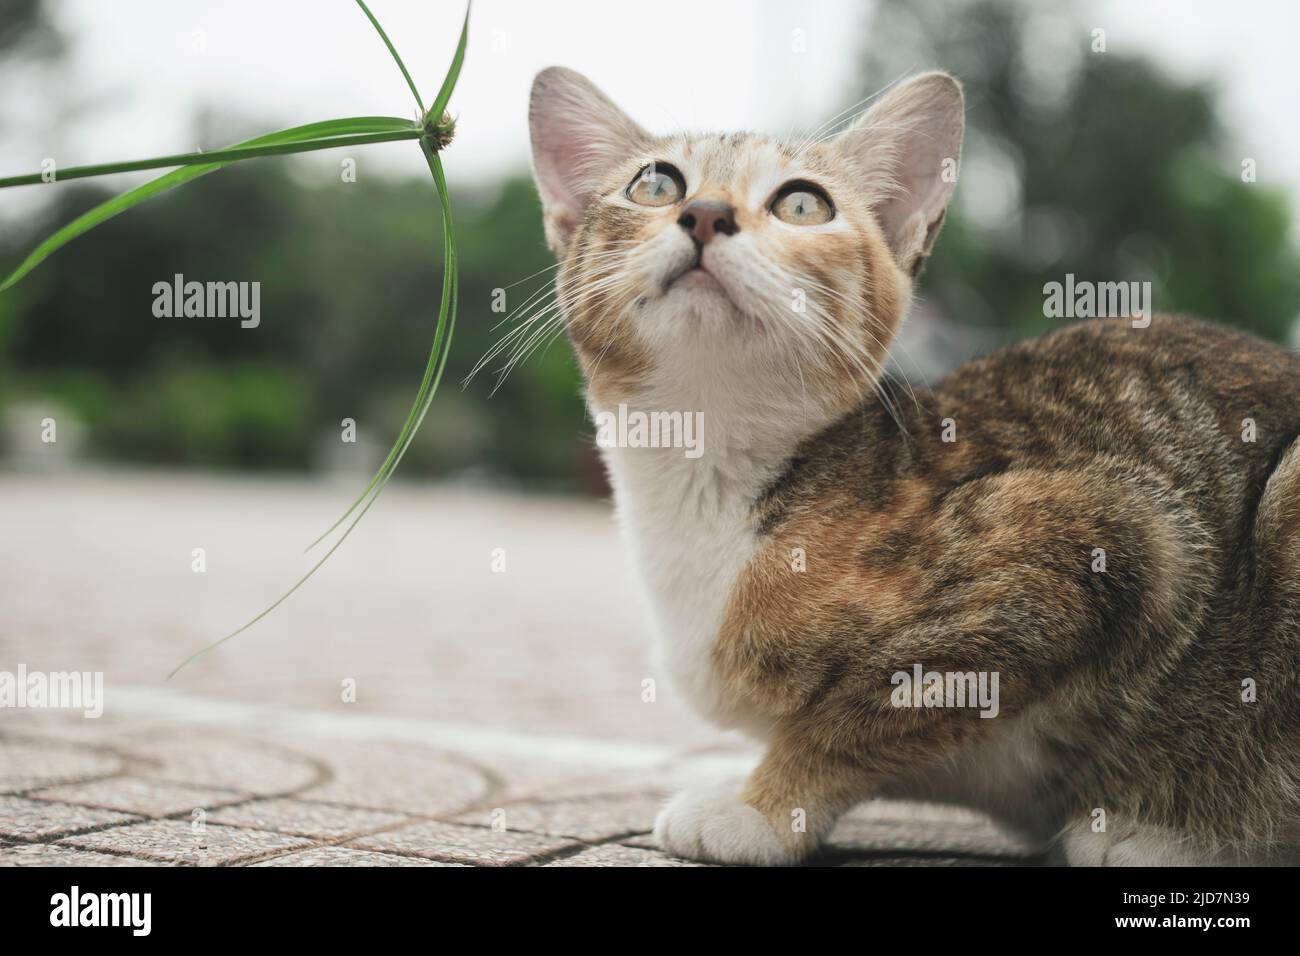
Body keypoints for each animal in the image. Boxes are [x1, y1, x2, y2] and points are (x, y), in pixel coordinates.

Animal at [522, 63, 1294, 863]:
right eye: (656, 184)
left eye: (802, 202)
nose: (705, 213)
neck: (711, 470)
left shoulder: (1109, 540)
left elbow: (861, 715)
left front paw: (760, 806)